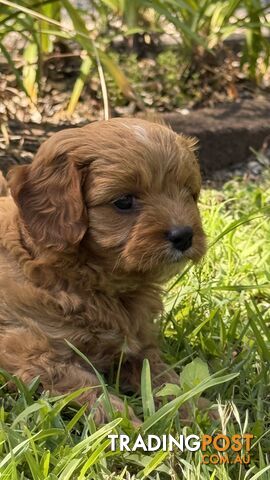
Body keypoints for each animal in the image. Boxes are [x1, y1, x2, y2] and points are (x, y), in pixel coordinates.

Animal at [0, 119, 206, 424]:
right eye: (124, 202)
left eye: (188, 194)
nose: (184, 236)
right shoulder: (34, 355)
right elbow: (92, 390)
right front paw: (128, 426)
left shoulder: (139, 350)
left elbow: (167, 380)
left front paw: (203, 413)